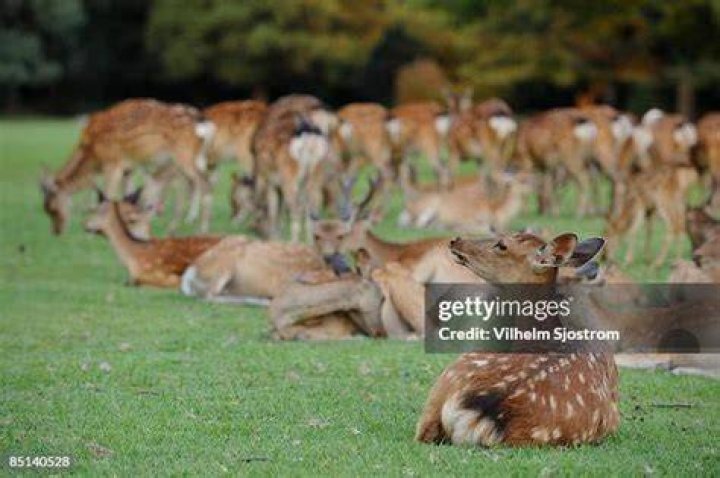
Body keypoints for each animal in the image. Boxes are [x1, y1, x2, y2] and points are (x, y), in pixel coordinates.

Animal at [40, 98, 215, 235]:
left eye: (52, 209)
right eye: (47, 211)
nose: (56, 232)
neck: (92, 155)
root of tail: (204, 125)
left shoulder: (113, 163)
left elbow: (108, 195)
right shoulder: (128, 168)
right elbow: (129, 194)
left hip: (183, 155)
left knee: (203, 183)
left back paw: (201, 229)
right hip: (178, 161)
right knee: (185, 185)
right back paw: (175, 227)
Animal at [251, 94, 340, 242]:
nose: (260, 235)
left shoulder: (271, 181)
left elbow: (274, 212)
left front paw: (275, 240)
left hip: (290, 176)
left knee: (296, 208)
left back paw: (294, 242)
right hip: (316, 172)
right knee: (314, 206)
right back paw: (311, 244)